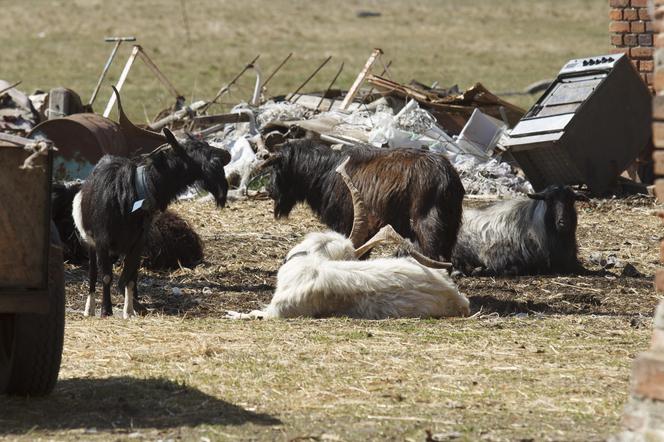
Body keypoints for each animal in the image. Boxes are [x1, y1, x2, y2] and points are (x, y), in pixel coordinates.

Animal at [73, 128, 231, 318]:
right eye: (193, 151)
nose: (227, 154)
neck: (131, 194)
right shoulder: (102, 240)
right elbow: (106, 276)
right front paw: (106, 311)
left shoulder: (137, 242)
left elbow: (129, 278)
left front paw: (130, 310)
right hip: (90, 242)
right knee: (93, 273)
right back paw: (89, 309)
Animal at [262, 140, 464, 260]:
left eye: (276, 168)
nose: (269, 190)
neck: (325, 170)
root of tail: (447, 176)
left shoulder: (348, 223)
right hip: (451, 227)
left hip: (427, 225)